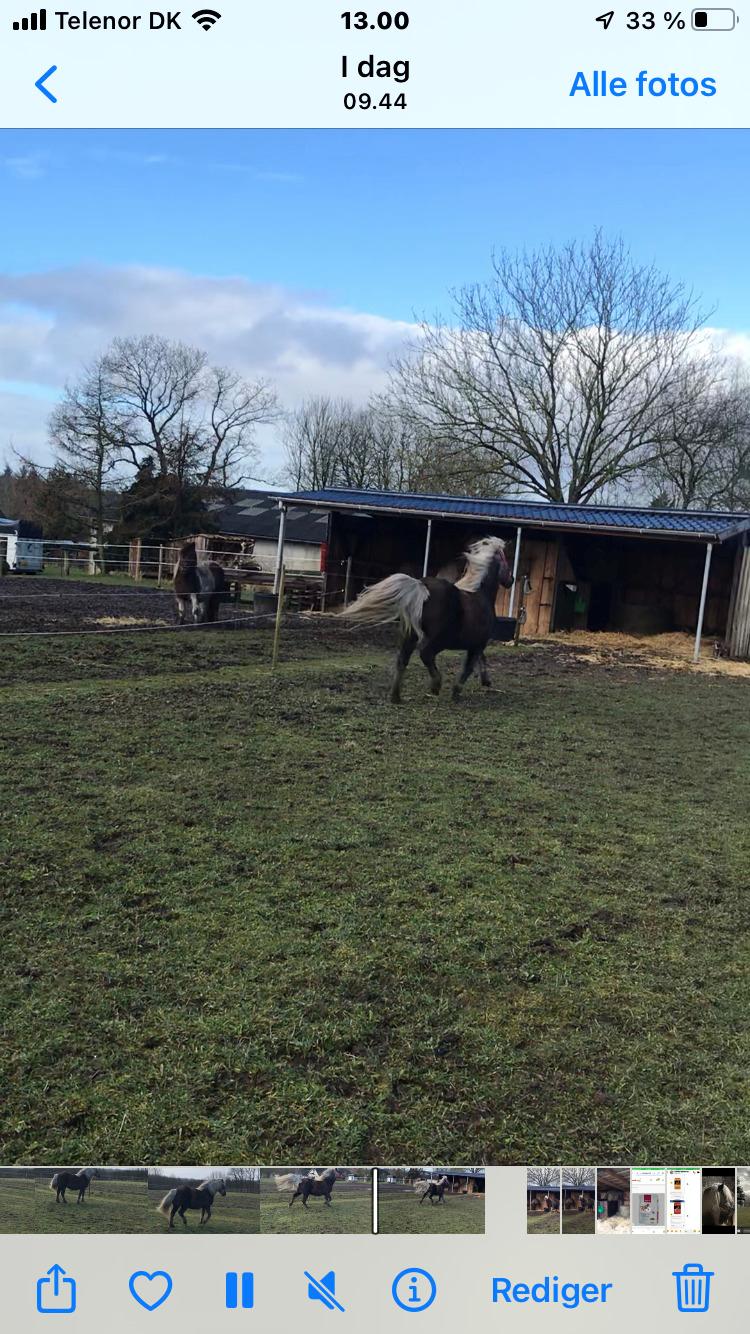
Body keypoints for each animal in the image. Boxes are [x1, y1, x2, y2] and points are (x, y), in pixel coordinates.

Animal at [340, 536, 509, 704]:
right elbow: (469, 667)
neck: (481, 595)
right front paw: (457, 692)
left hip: (410, 635)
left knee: (402, 660)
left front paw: (486, 681)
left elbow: (480, 660)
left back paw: (396, 697)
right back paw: (435, 685)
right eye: (507, 562)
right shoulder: (478, 644)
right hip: (438, 640)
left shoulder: (476, 644)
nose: (511, 580)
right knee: (425, 654)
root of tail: (421, 586)